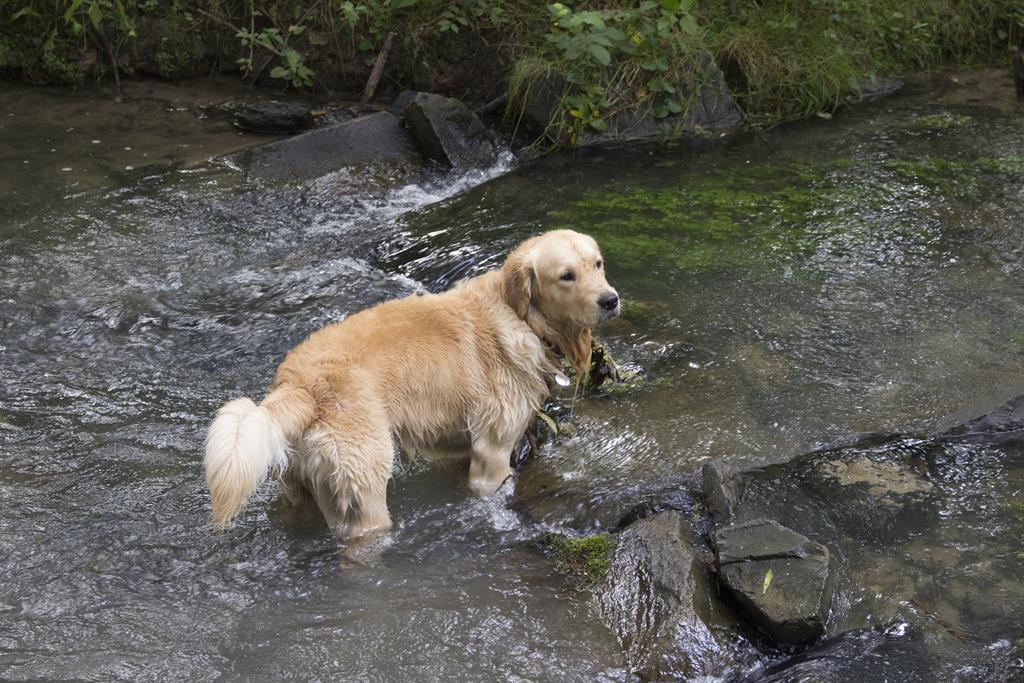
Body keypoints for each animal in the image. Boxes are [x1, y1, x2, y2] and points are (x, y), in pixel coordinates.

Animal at [203, 229, 618, 540]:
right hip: (363, 485)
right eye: (566, 276)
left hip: (296, 485)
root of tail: (297, 385)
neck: (521, 318)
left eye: (597, 264)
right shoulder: (493, 453)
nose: (611, 300)